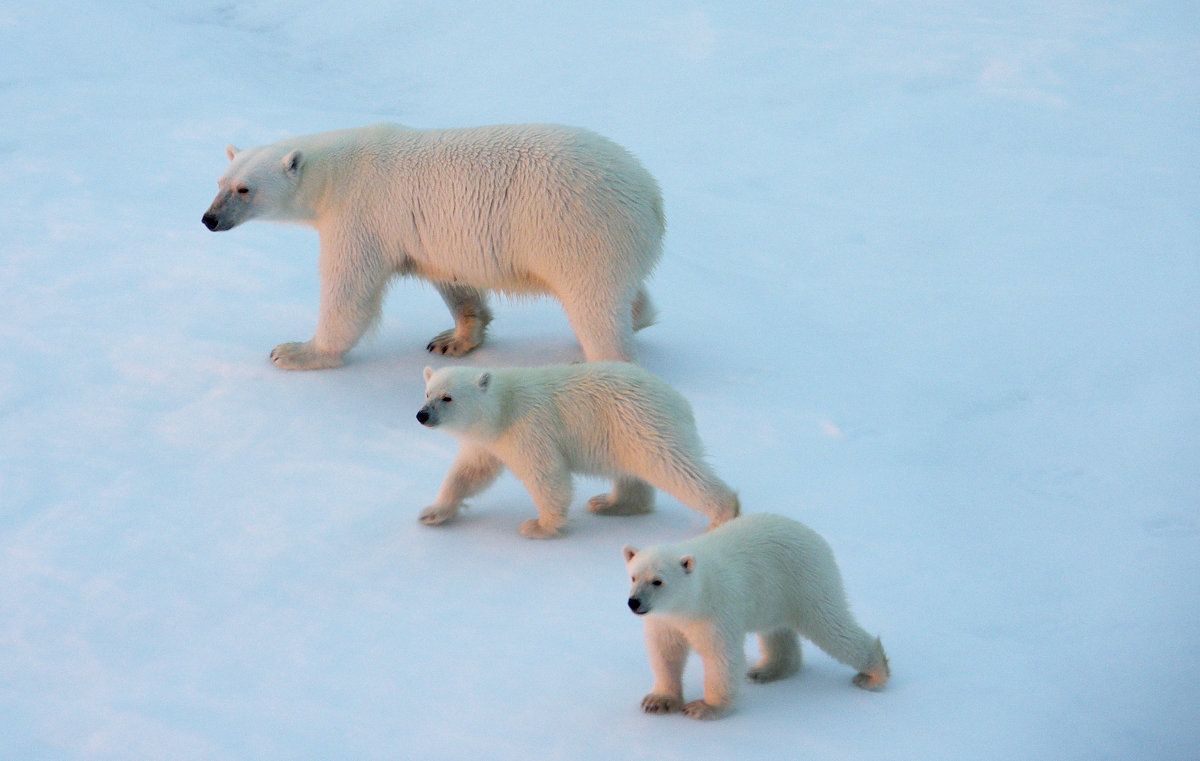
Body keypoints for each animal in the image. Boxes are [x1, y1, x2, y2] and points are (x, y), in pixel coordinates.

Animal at [200, 123, 662, 367]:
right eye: (220, 182)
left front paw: (295, 351)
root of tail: (651, 196)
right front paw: (452, 339)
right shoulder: (434, 239)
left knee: (594, 307)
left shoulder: (361, 215)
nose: (209, 219)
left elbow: (349, 290)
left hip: (579, 233)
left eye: (244, 189)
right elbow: (454, 283)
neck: (336, 171)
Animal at [417, 360, 734, 532]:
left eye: (447, 397)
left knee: (674, 466)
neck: (503, 406)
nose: (422, 415)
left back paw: (723, 513)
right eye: (428, 393)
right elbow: (469, 472)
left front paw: (539, 526)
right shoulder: (488, 440)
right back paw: (610, 503)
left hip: (640, 422)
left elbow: (546, 473)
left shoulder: (528, 427)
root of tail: (679, 400)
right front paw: (432, 513)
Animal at [624, 513, 888, 720]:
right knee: (777, 632)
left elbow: (721, 656)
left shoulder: (716, 611)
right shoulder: (665, 619)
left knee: (831, 626)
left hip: (805, 580)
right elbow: (665, 652)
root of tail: (815, 537)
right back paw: (767, 670)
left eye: (657, 581)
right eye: (633, 576)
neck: (693, 599)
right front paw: (658, 701)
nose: (634, 602)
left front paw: (704, 707)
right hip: (776, 597)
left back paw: (875, 675)